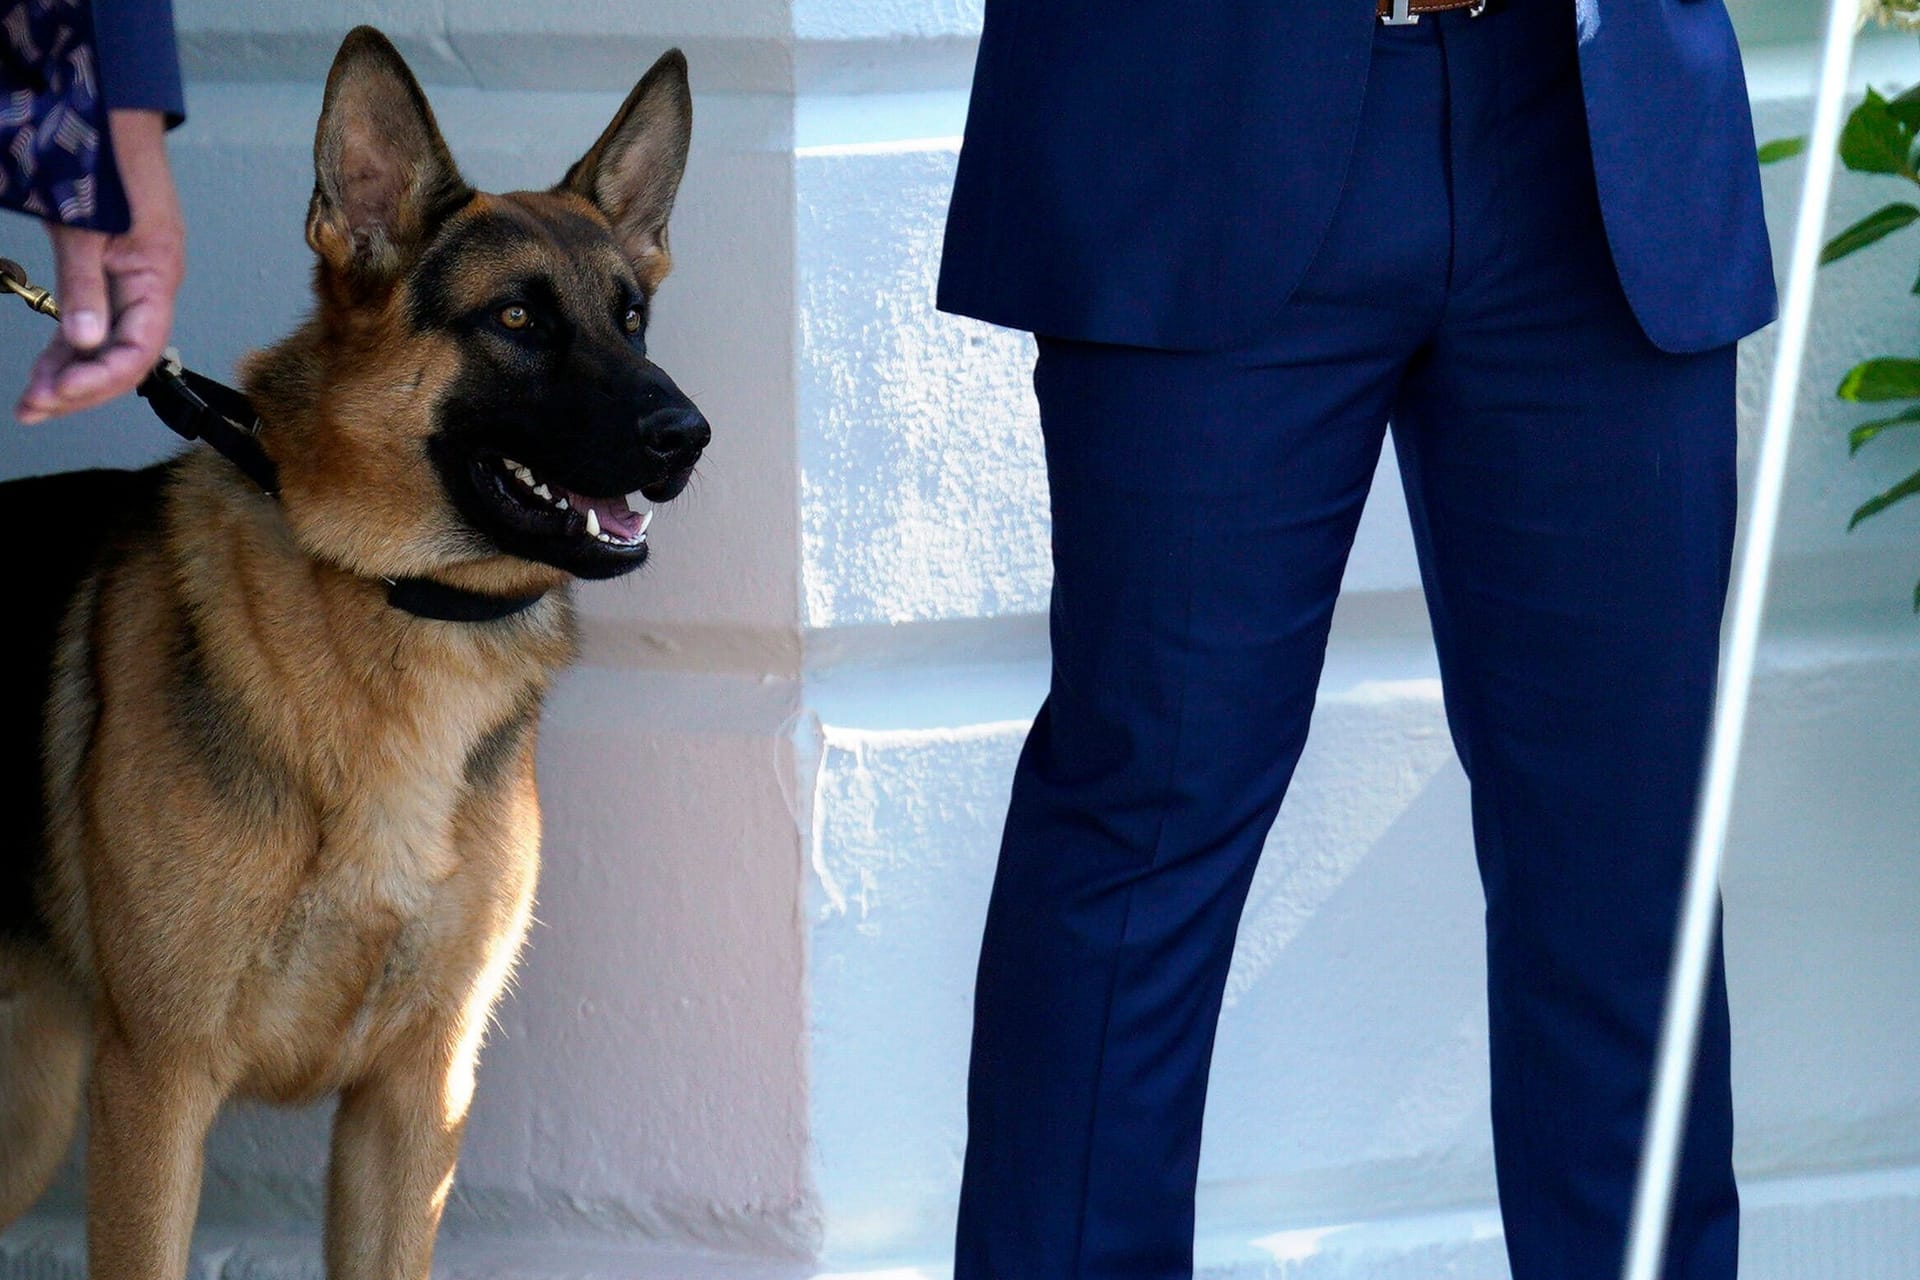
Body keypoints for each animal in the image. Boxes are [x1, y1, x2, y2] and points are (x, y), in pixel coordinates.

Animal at [1, 22, 706, 1280]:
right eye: (516, 320)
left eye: (632, 320)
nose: (689, 435)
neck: (401, 608)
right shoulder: (156, 1087)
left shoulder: (415, 1098)